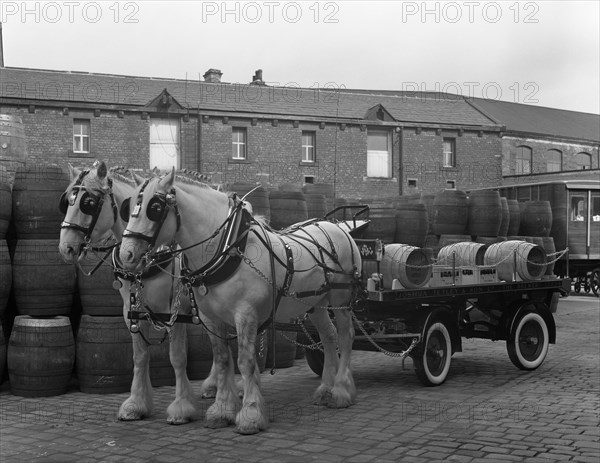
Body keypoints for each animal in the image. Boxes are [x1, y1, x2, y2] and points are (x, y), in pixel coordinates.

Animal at [56, 161, 218, 426]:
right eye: (66, 201)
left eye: (88, 202)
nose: (65, 248)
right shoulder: (130, 311)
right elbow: (140, 357)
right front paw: (136, 404)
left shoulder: (174, 312)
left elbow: (177, 357)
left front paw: (181, 408)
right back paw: (214, 386)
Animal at [117, 169, 360, 436]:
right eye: (129, 207)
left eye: (155, 207)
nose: (126, 254)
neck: (225, 248)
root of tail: (336, 227)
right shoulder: (211, 318)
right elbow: (223, 360)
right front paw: (222, 410)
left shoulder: (245, 315)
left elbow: (246, 362)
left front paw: (251, 414)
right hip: (315, 303)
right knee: (328, 337)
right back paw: (325, 388)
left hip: (341, 299)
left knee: (346, 336)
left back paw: (341, 391)